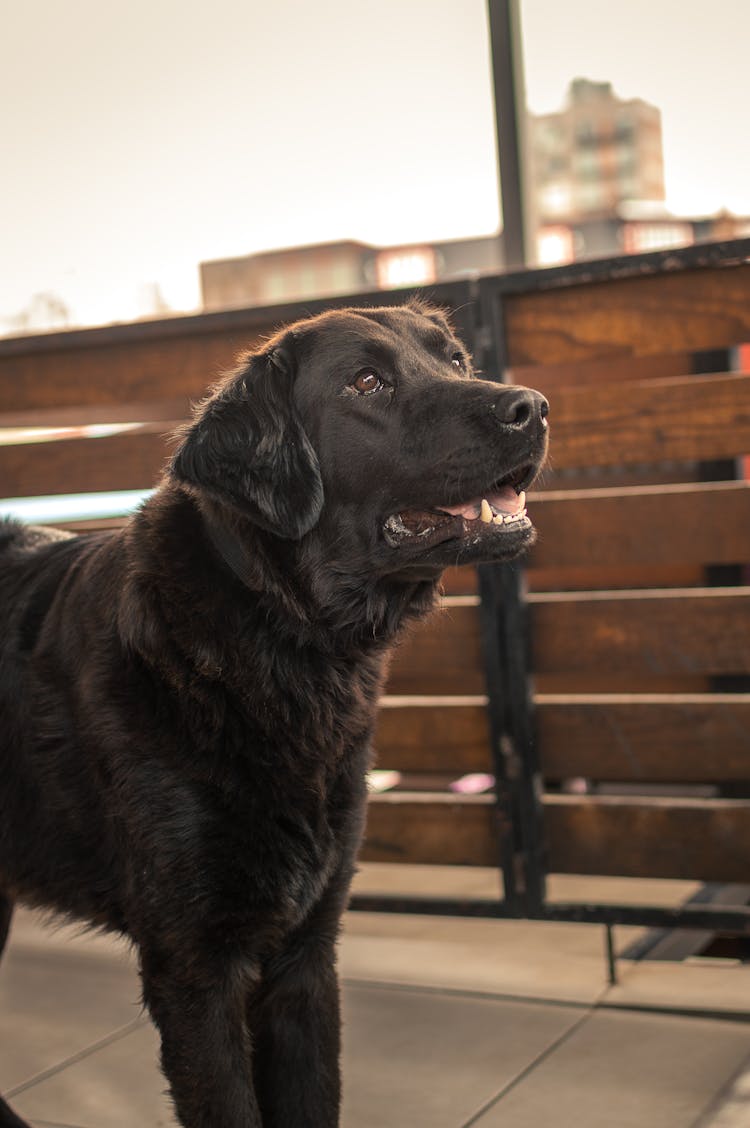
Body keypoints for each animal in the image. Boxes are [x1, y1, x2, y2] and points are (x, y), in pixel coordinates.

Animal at [1, 302, 550, 1128]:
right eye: (367, 382)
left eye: (454, 359)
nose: (533, 408)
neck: (282, 642)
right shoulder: (194, 971)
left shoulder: (305, 951)